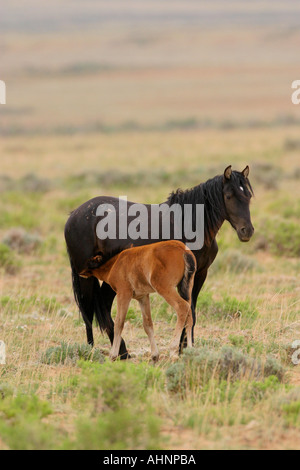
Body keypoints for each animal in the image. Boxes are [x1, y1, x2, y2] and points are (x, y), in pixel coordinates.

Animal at [65, 164, 253, 356]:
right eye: (229, 196)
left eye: (248, 196)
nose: (247, 231)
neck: (189, 224)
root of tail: (74, 215)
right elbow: (186, 309)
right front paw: (182, 348)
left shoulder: (200, 274)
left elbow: (191, 310)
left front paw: (186, 348)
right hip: (86, 277)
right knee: (88, 311)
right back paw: (90, 349)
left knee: (103, 305)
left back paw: (122, 352)